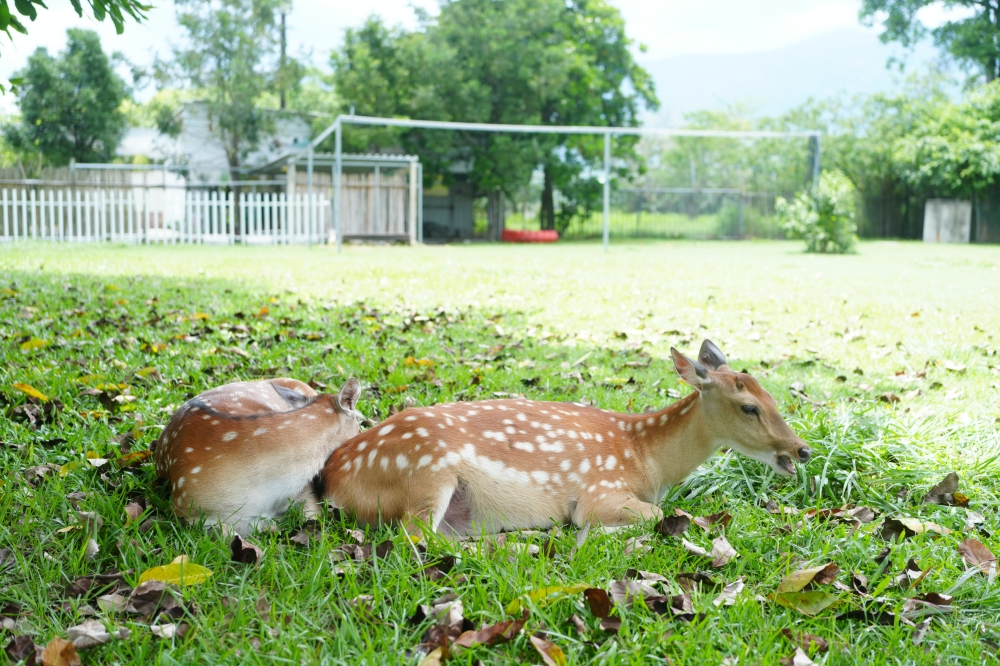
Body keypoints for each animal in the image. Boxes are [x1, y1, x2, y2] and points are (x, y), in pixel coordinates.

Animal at [314, 340, 810, 536]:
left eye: (772, 394)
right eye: (749, 407)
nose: (802, 450)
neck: (646, 459)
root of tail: (332, 474)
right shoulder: (599, 489)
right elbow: (654, 515)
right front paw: (594, 530)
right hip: (424, 474)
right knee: (415, 539)